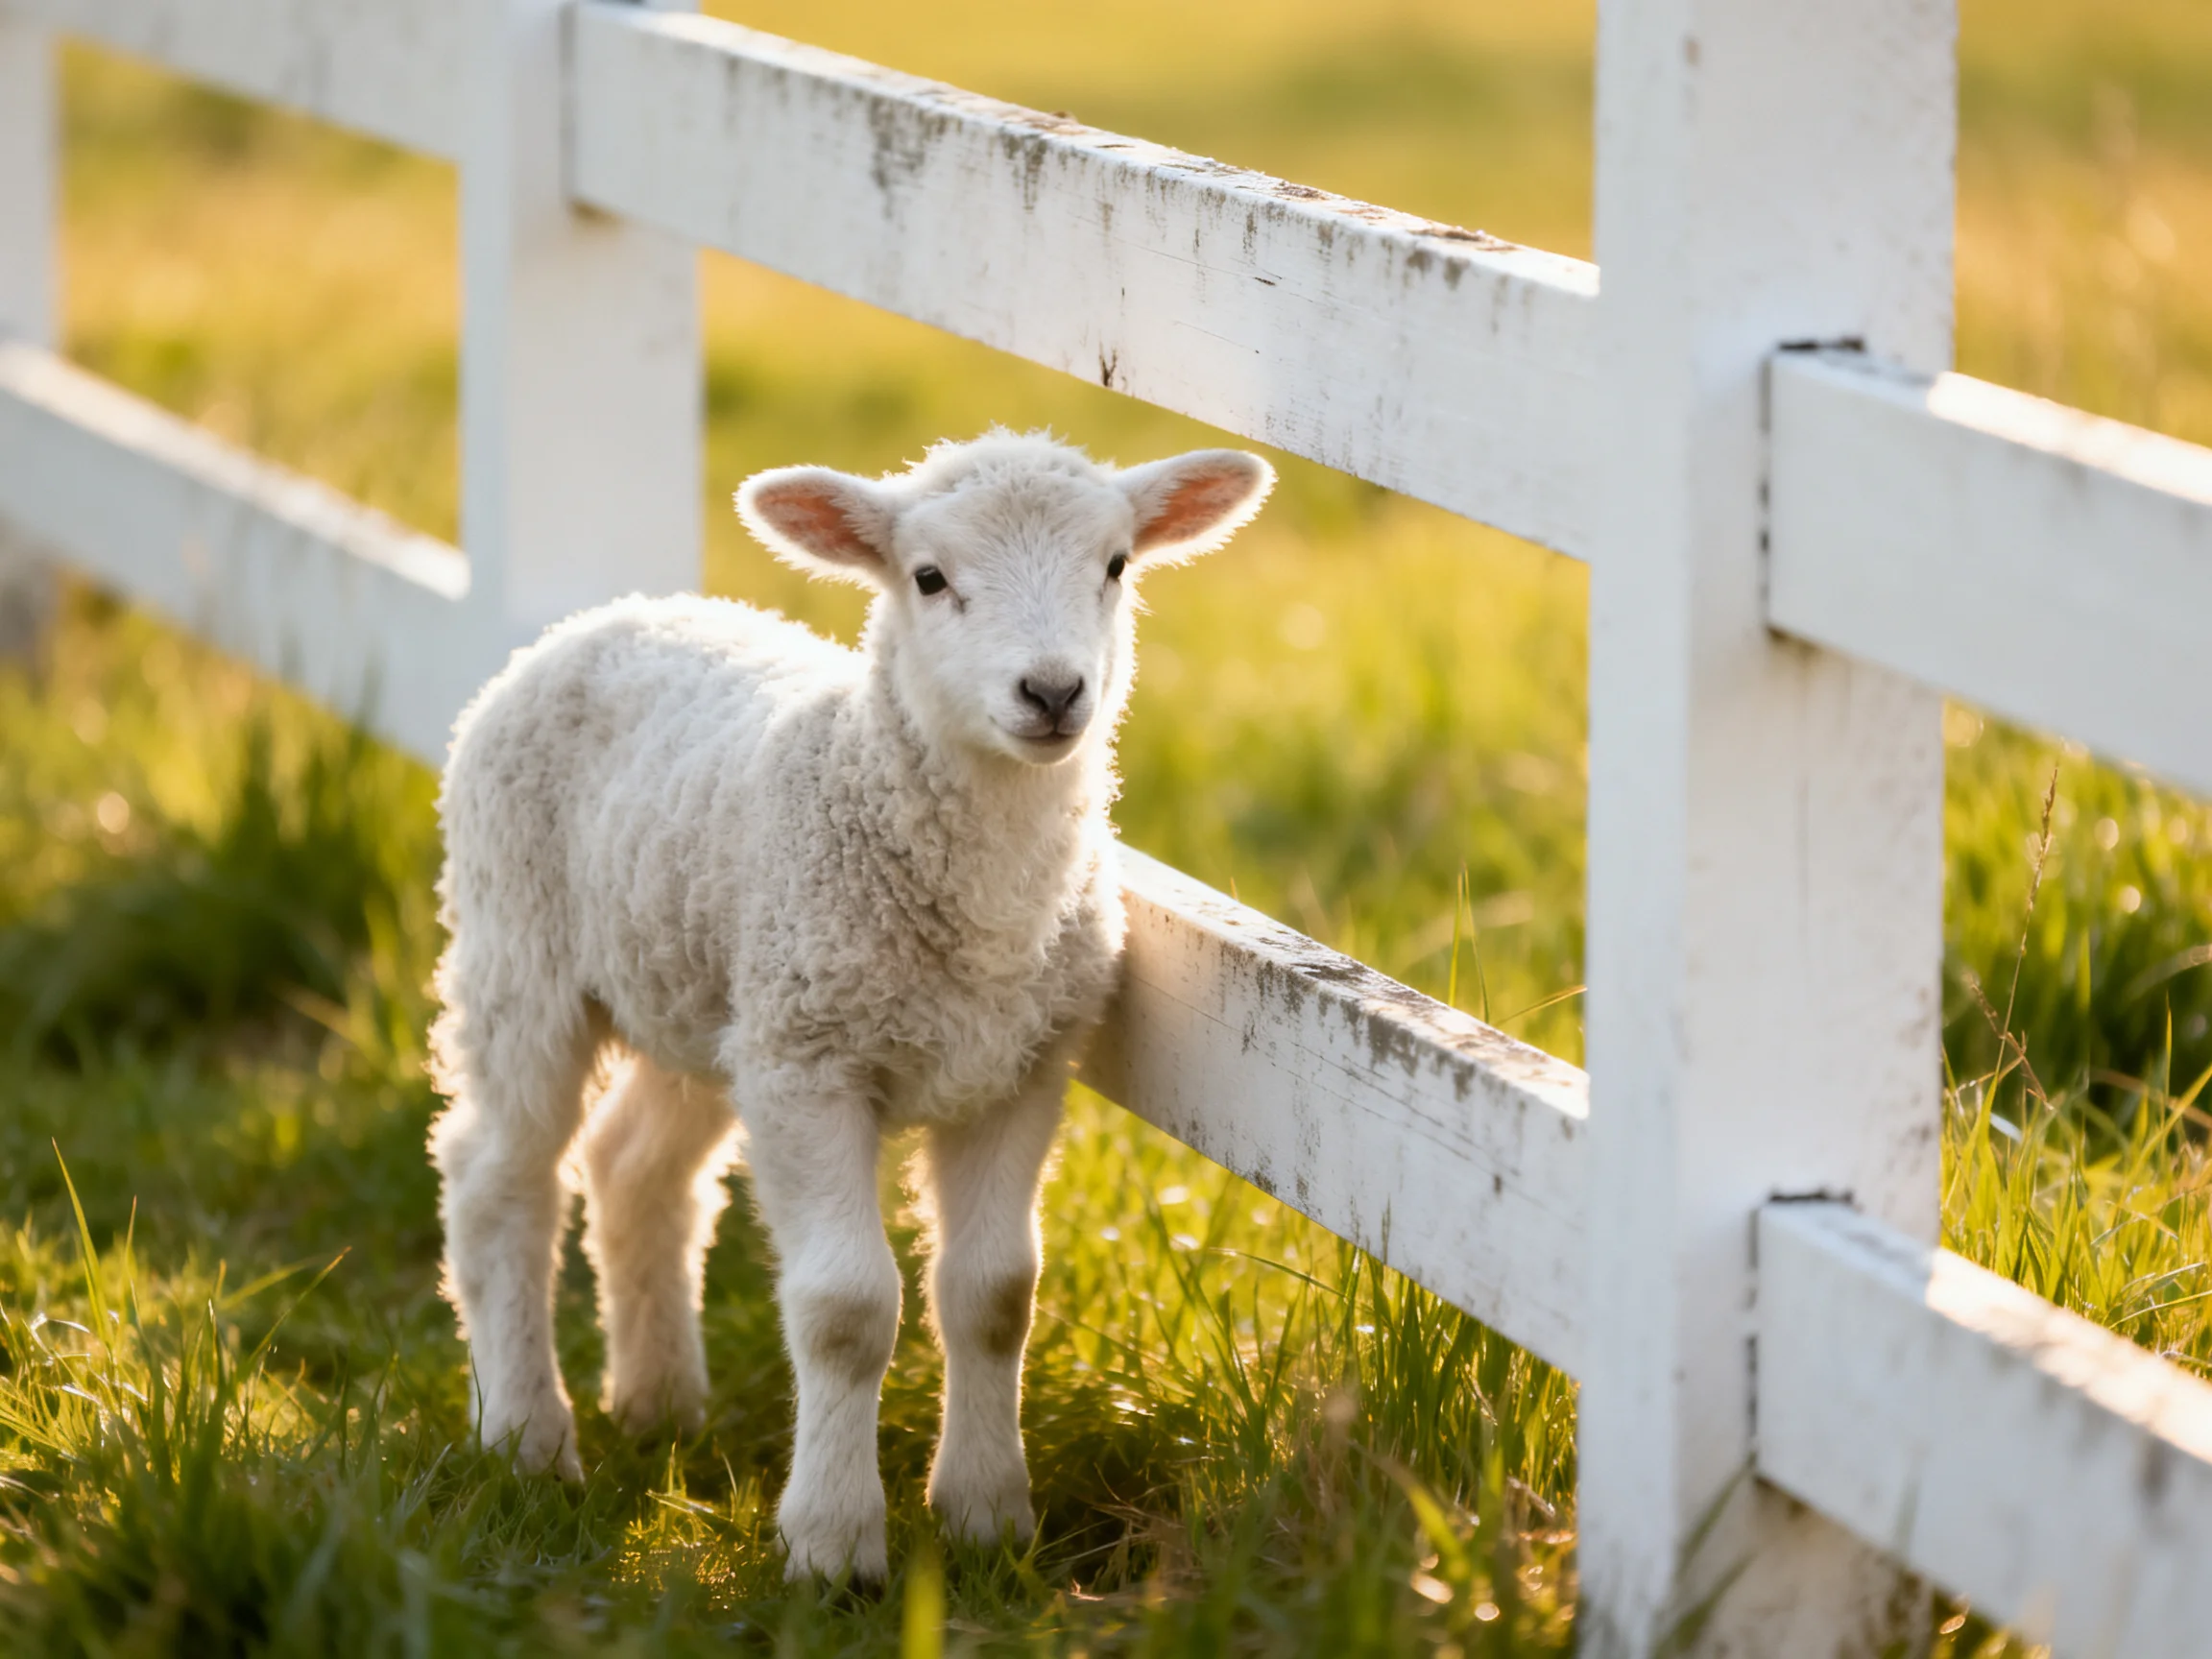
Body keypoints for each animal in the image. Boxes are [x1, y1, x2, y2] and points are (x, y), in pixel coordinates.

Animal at [427, 431, 1274, 1581]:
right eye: (929, 578)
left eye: (1116, 566)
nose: (1054, 692)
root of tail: (613, 614)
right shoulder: (811, 1067)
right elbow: (844, 1309)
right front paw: (832, 1545)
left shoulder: (1017, 1069)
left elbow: (995, 1295)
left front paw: (987, 1516)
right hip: (524, 946)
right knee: (499, 1179)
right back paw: (524, 1435)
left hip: (710, 995)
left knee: (634, 1165)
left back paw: (660, 1405)